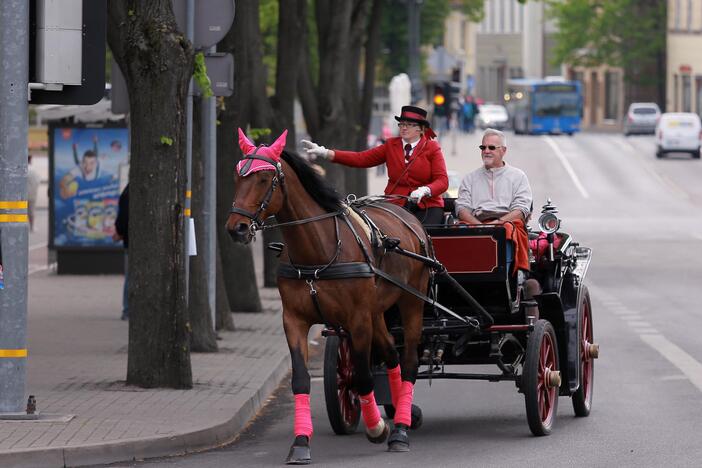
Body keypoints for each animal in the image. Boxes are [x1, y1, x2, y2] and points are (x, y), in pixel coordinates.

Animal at [227, 129, 434, 464]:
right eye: (237, 176)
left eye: (264, 179)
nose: (237, 228)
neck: (319, 250)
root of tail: (406, 213)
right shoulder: (294, 321)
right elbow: (301, 379)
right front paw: (300, 442)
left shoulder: (358, 320)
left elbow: (362, 377)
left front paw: (377, 428)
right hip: (377, 312)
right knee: (392, 355)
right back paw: (403, 412)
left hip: (411, 303)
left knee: (410, 362)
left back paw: (400, 429)